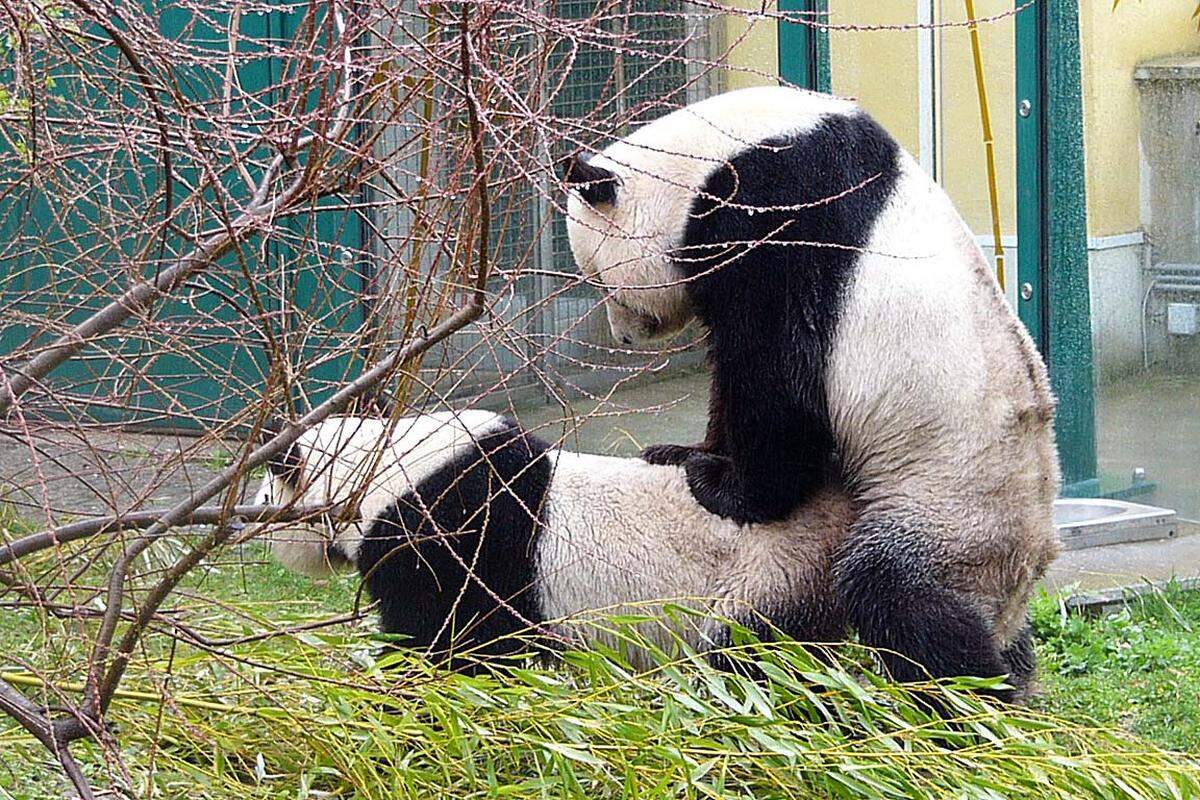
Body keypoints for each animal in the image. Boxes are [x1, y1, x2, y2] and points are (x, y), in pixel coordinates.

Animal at [258, 412, 1036, 700]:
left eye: (267, 481)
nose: (254, 524)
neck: (374, 464)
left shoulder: (452, 530)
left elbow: (456, 638)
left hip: (769, 576)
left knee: (768, 663)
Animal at [561, 86, 1060, 695]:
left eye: (598, 279)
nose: (624, 336)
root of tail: (1032, 561)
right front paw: (684, 452)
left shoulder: (780, 209)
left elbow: (778, 373)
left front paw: (724, 486)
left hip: (955, 504)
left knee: (902, 594)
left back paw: (963, 699)